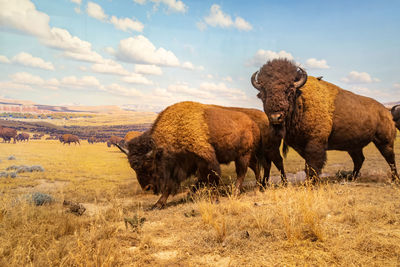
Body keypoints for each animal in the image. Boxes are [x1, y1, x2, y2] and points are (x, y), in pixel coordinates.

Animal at [117, 101, 286, 208]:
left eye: (149, 163)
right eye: (133, 167)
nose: (147, 187)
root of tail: (253, 124)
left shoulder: (206, 159)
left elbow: (212, 178)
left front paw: (214, 199)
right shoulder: (187, 164)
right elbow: (177, 184)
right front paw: (158, 204)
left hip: (246, 155)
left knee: (245, 171)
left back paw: (238, 192)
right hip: (246, 155)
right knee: (256, 167)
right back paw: (258, 187)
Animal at [252, 59, 398, 182]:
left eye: (290, 90)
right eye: (263, 93)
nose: (275, 117)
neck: (301, 100)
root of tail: (385, 111)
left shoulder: (315, 144)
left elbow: (312, 166)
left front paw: (311, 183)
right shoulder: (301, 146)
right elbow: (308, 165)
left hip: (384, 141)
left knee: (390, 158)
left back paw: (394, 179)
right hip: (353, 146)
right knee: (359, 159)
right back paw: (352, 178)